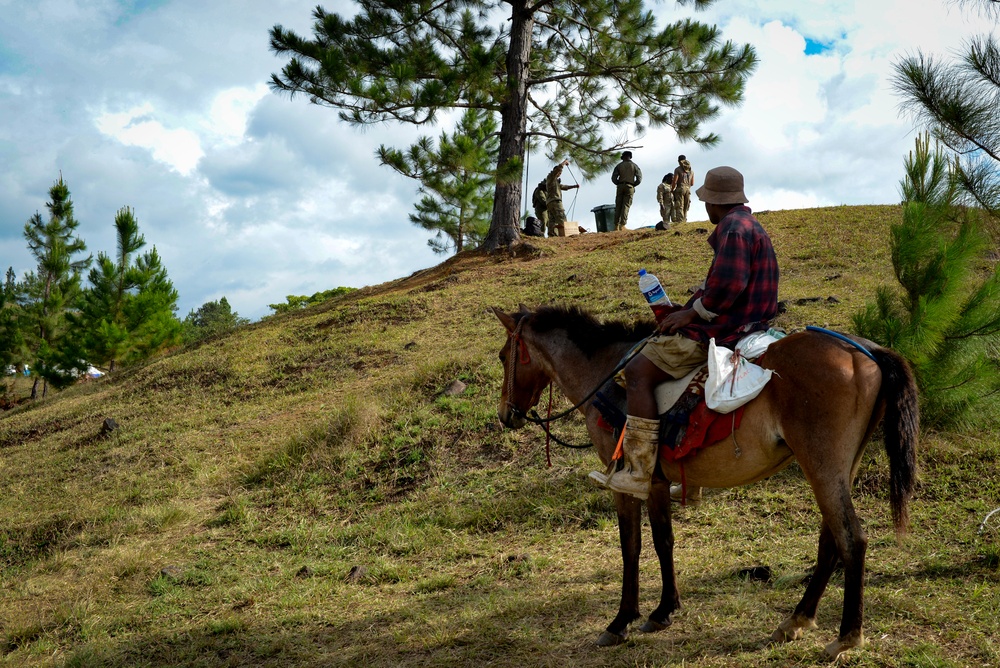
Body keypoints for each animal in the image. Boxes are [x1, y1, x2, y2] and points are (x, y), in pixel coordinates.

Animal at [488, 306, 916, 660]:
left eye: (503, 356)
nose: (506, 415)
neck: (606, 375)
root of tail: (866, 351)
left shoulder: (625, 483)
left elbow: (632, 546)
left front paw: (623, 620)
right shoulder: (657, 483)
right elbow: (664, 541)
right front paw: (665, 610)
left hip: (823, 465)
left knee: (851, 540)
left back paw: (847, 637)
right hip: (838, 468)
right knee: (832, 541)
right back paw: (797, 620)